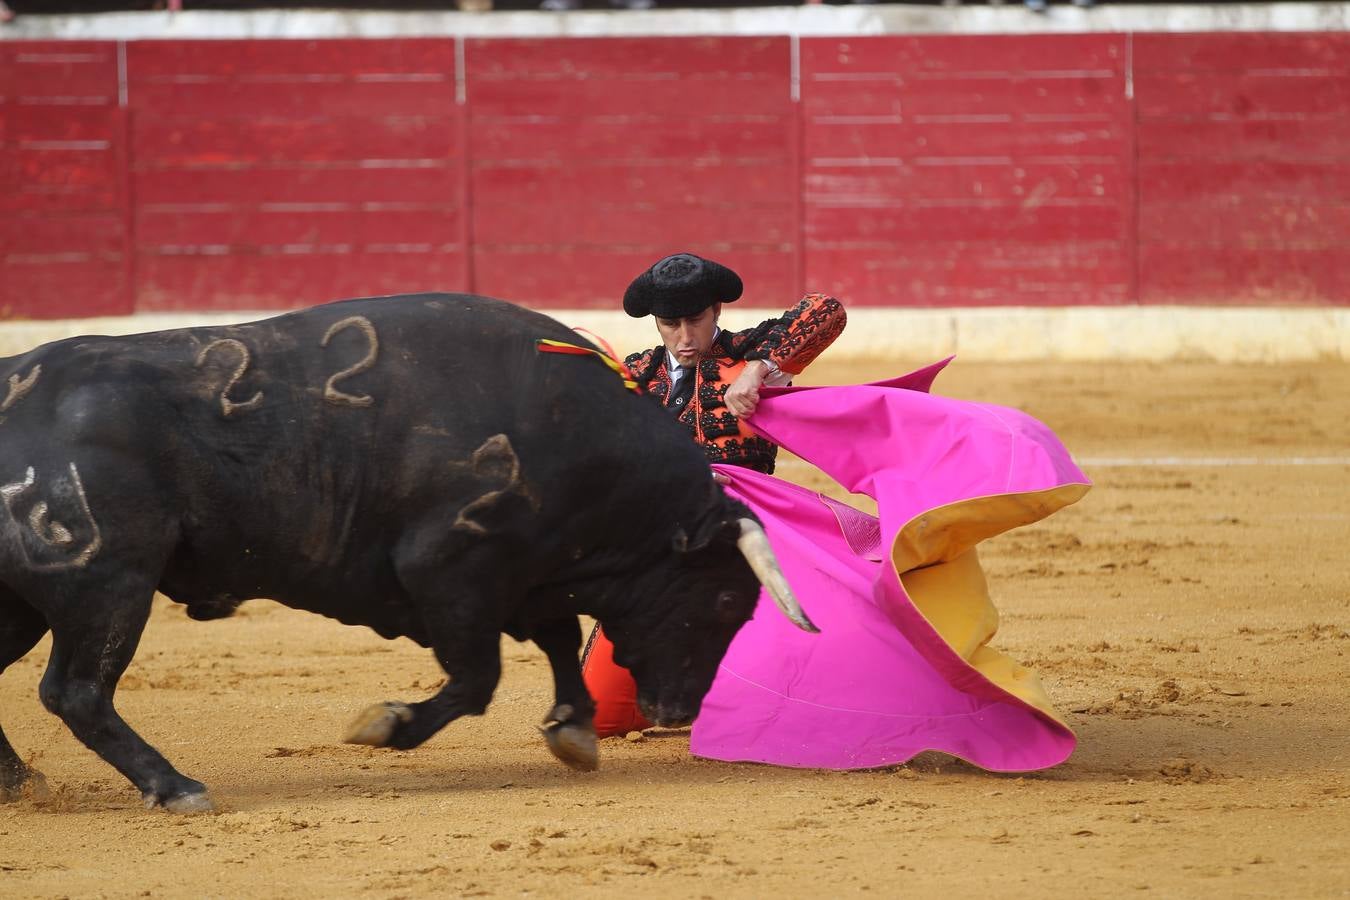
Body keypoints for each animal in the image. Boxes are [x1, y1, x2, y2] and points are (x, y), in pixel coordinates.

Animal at [0, 292, 810, 814]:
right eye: (726, 597)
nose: (679, 711)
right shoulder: (449, 572)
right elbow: (479, 677)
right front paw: (387, 725)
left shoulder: (525, 576)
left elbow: (556, 639)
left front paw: (574, 731)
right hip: (109, 584)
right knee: (78, 691)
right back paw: (176, 787)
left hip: (32, 603)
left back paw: (22, 784)